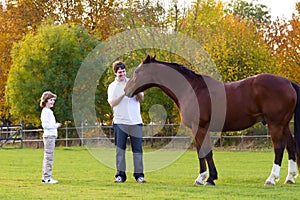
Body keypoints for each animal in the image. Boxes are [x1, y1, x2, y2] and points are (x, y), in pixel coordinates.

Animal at [124, 55, 300, 186]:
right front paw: (209, 177)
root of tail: (287, 82)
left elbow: (204, 151)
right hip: (284, 124)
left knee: (279, 148)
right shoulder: (201, 129)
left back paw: (271, 179)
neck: (192, 90)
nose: (126, 90)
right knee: (291, 146)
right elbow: (204, 151)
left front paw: (204, 178)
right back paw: (290, 178)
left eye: (137, 72)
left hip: (275, 124)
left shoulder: (199, 127)